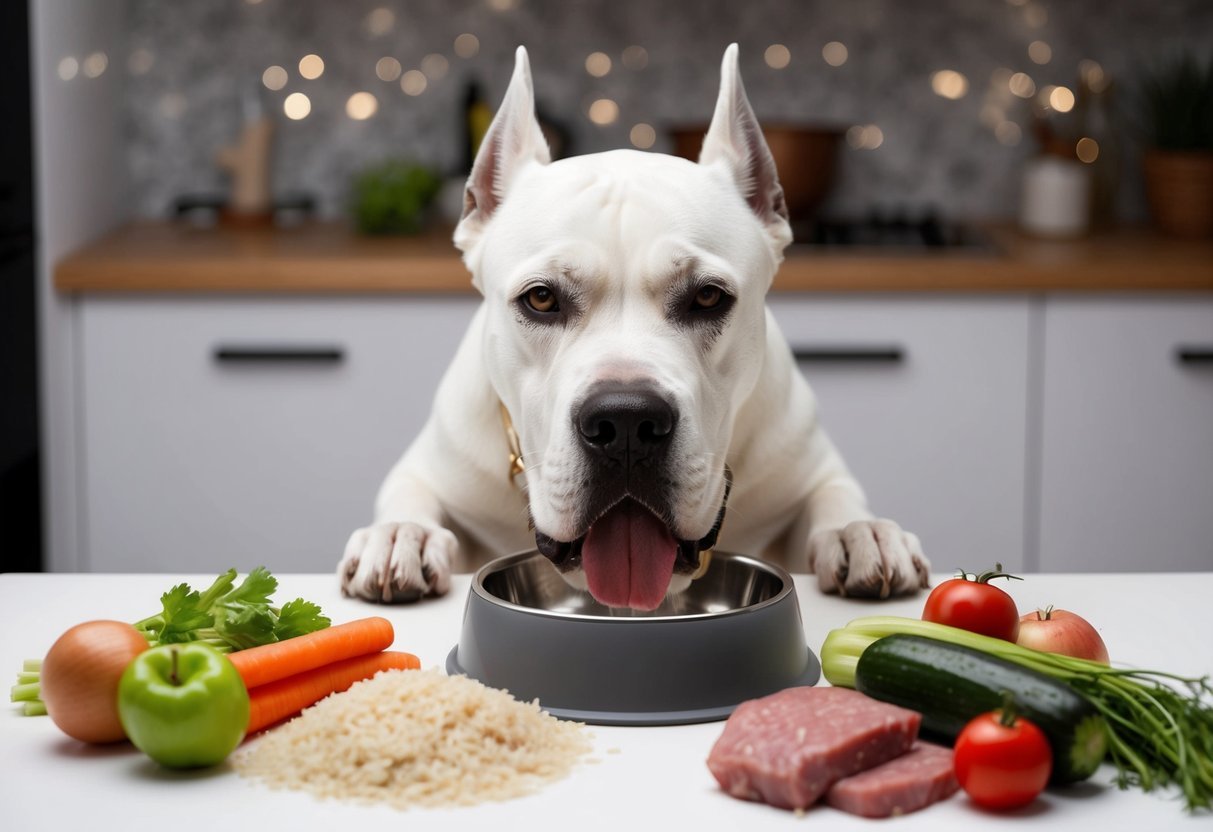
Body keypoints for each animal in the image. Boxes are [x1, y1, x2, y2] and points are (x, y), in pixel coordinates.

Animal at [339, 43, 926, 606]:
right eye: (541, 298)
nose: (624, 423)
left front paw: (860, 532)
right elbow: (410, 495)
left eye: (708, 296)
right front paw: (400, 535)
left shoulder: (810, 462)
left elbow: (835, 496)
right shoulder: (430, 465)